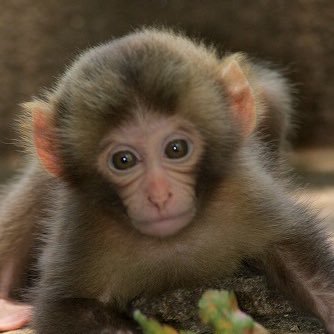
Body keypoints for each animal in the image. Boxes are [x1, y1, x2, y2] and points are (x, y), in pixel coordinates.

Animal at [0, 27, 332, 332]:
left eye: (176, 149)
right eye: (123, 160)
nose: (159, 196)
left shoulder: (248, 192)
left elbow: (304, 268)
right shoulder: (82, 228)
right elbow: (62, 307)